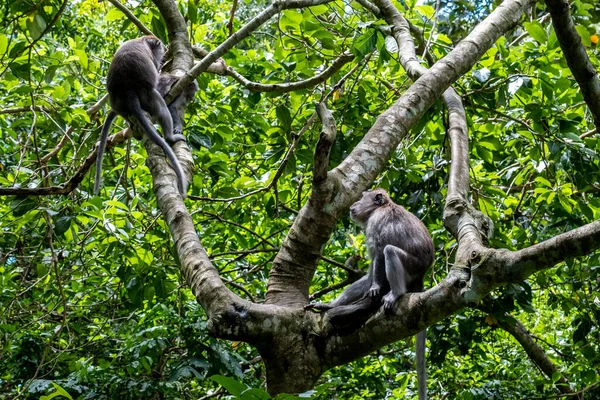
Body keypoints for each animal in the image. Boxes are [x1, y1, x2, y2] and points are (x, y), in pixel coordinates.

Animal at [94, 35, 197, 197]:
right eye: (190, 94)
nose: (190, 98)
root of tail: (129, 93)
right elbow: (172, 108)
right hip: (149, 97)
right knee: (162, 108)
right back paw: (170, 137)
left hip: (119, 105)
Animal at [308, 188, 434, 400]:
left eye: (362, 197)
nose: (353, 205)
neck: (382, 207)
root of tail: (423, 274)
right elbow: (369, 275)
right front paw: (332, 304)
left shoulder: (375, 223)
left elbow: (379, 253)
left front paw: (376, 287)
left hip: (412, 266)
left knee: (389, 251)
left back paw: (395, 293)